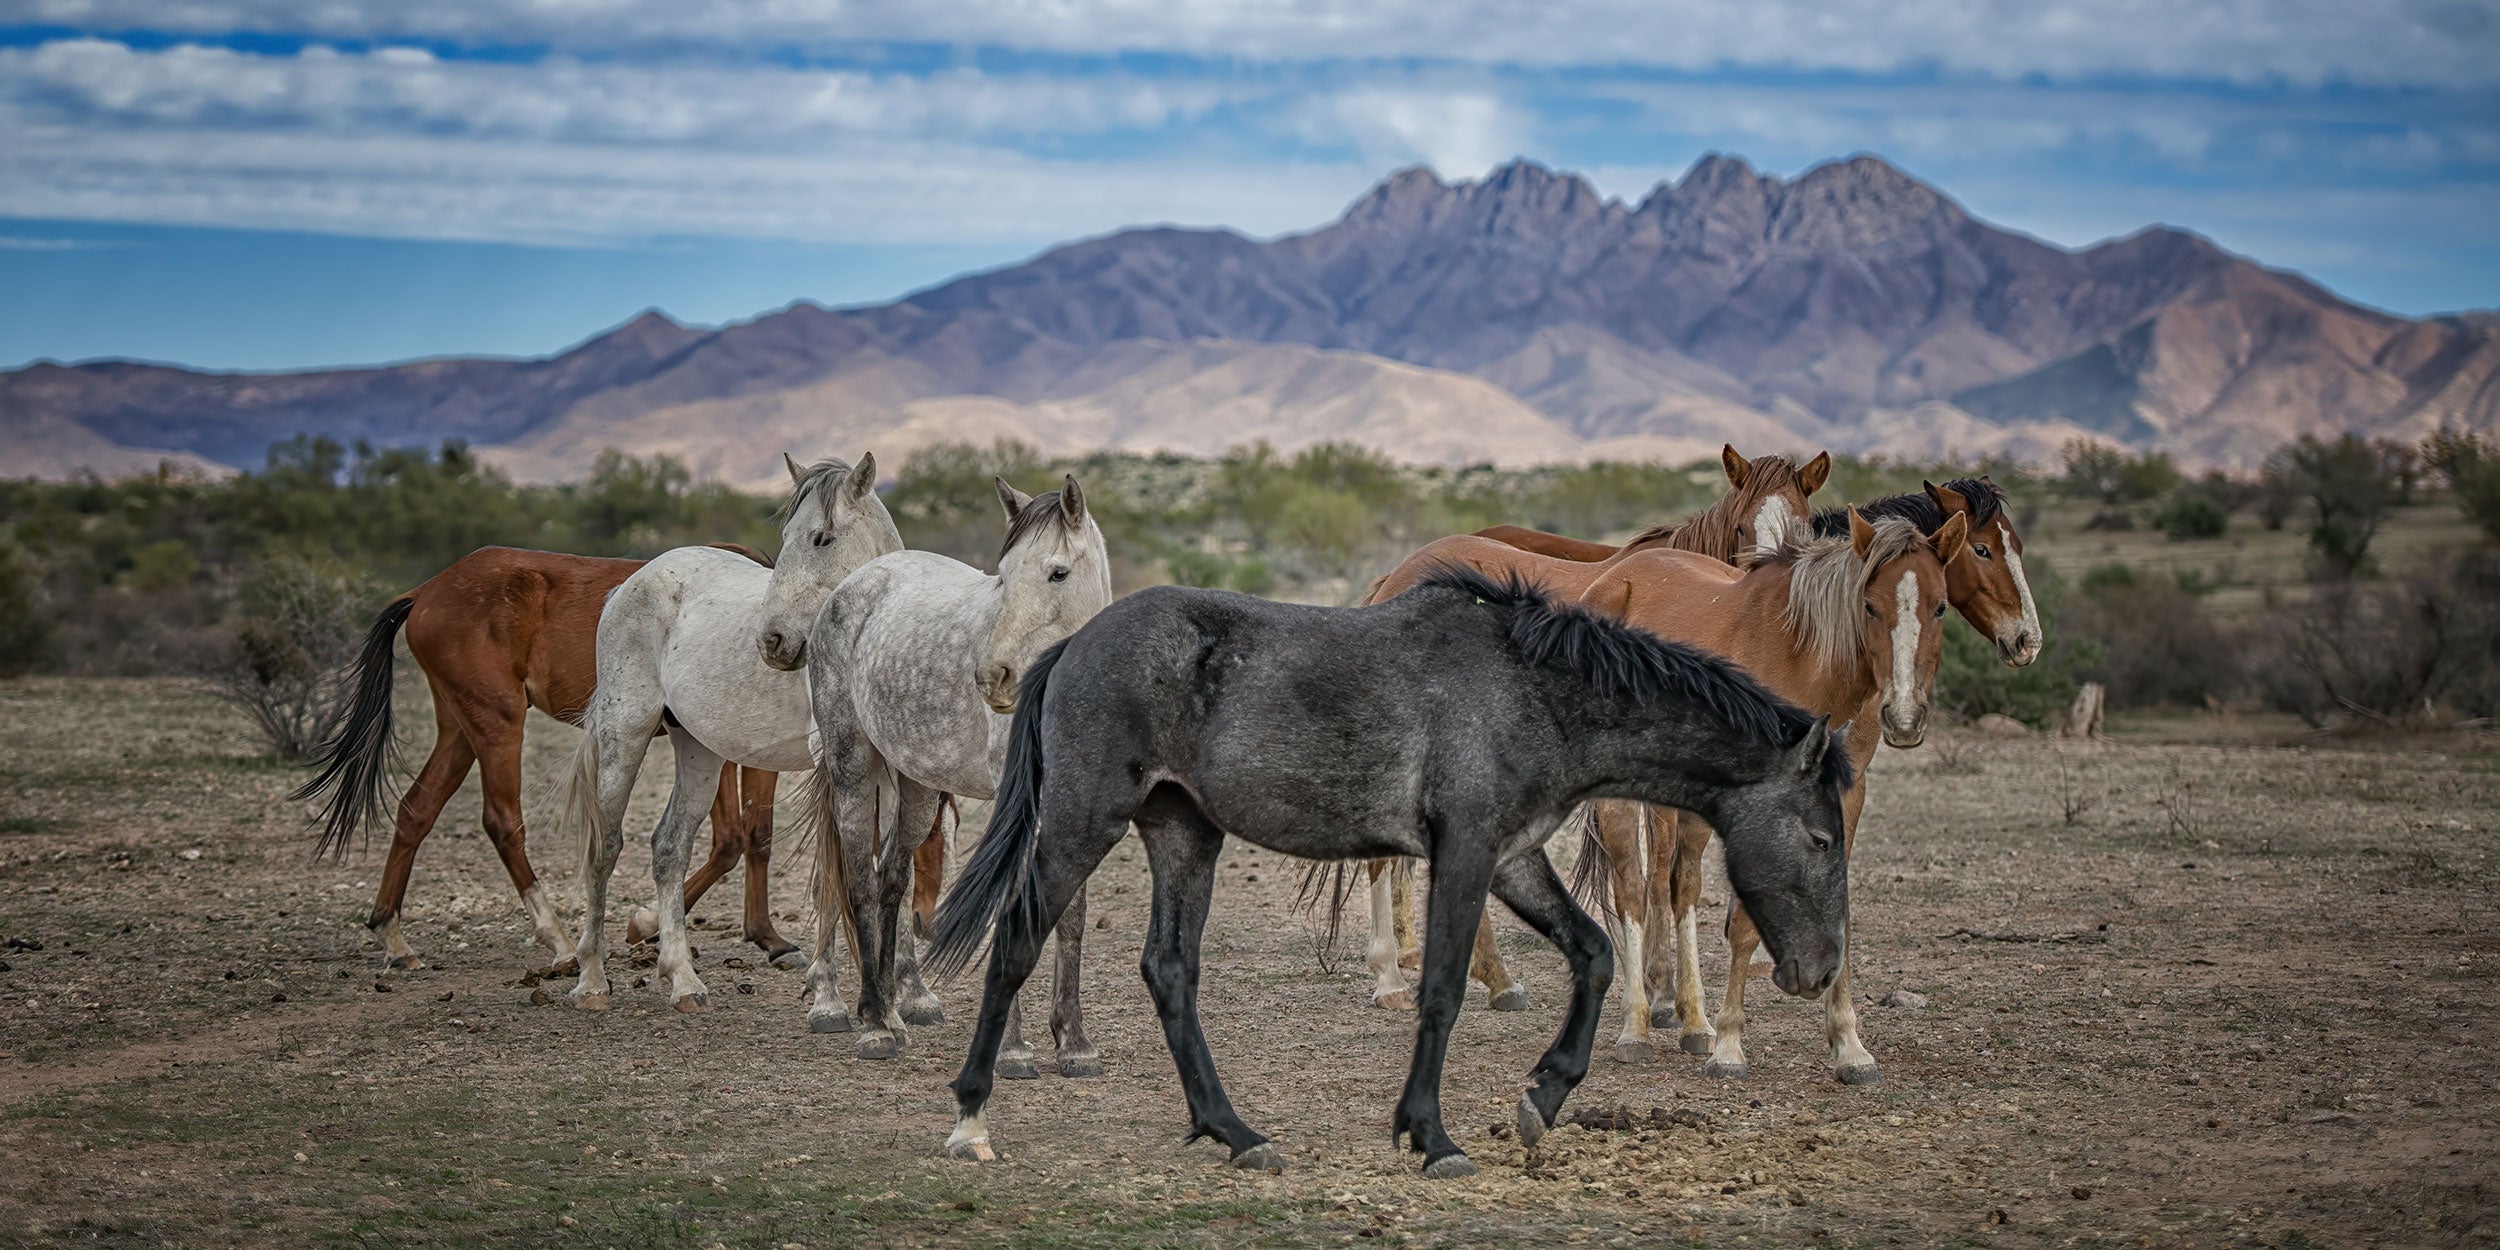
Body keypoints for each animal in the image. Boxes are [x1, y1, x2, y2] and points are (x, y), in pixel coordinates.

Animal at [557, 455, 900, 1010]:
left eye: (822, 538)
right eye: (785, 536)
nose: (773, 641)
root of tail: (634, 580)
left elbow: (891, 869)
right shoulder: (834, 767)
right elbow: (835, 872)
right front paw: (828, 993)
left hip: (698, 751)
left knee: (669, 848)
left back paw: (682, 980)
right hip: (622, 736)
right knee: (604, 849)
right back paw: (591, 980)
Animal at [800, 472, 1115, 1070]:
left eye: (1058, 572)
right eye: (1003, 575)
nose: (994, 677)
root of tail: (847, 588)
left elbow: (1073, 912)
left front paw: (1075, 1041)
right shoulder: (1014, 810)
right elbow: (1010, 906)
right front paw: (1011, 1050)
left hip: (919, 788)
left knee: (891, 879)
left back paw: (895, 1010)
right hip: (852, 767)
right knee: (858, 882)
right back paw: (873, 1025)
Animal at [925, 567, 1860, 1180]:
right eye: (1821, 838)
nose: (1817, 971)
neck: (1530, 691)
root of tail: (1071, 647)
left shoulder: (1513, 855)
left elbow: (1592, 954)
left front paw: (1543, 1098)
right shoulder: (1467, 852)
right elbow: (1441, 990)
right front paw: (1432, 1137)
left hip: (1183, 834)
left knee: (1169, 970)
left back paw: (1237, 1134)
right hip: (1083, 822)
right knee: (1016, 942)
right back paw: (971, 1118)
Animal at [1350, 445, 1840, 1010]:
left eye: (1803, 529)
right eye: (1742, 527)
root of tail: (1400, 575)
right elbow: (1658, 870)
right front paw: (1661, 989)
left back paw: (1493, 978)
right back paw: (1392, 978)